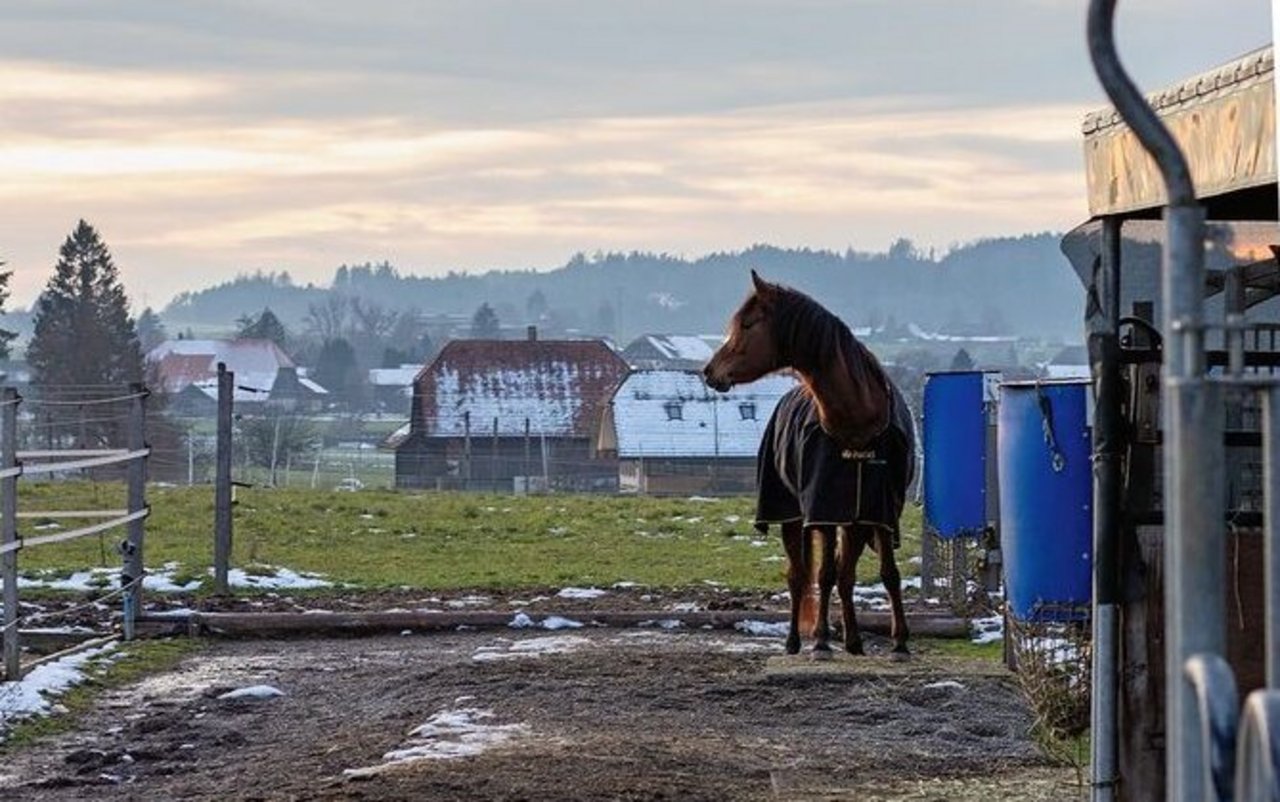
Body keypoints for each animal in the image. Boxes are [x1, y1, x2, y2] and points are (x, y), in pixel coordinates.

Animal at [706, 269, 916, 660]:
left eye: (747, 324)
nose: (709, 371)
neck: (857, 422)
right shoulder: (824, 508)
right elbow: (823, 574)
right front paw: (820, 641)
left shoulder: (879, 511)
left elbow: (887, 572)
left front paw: (899, 642)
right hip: (793, 516)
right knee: (800, 574)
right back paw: (795, 641)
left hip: (852, 522)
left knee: (845, 573)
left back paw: (853, 640)